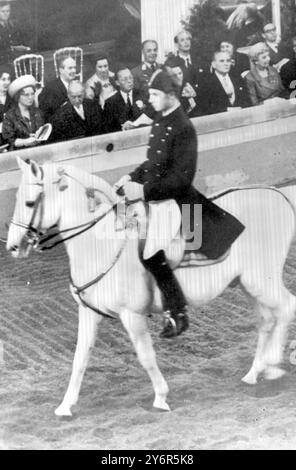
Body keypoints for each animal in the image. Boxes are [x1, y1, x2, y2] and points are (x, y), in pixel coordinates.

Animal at [5, 157, 296, 414]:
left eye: (30, 202)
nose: (12, 246)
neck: (102, 244)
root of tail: (276, 194)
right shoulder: (88, 313)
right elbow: (80, 359)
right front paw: (65, 406)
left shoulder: (131, 315)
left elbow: (145, 356)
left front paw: (161, 397)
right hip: (250, 284)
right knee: (267, 320)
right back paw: (255, 372)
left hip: (261, 281)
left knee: (286, 307)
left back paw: (274, 363)